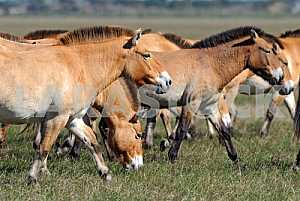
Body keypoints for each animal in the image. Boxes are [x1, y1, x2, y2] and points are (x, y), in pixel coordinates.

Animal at [0, 25, 171, 183]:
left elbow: (92, 142)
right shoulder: (56, 119)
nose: (168, 81)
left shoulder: (73, 119)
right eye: (147, 55)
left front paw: (105, 173)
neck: (78, 67)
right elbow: (43, 148)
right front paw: (33, 177)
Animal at [139, 26, 292, 166]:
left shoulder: (209, 107)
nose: (280, 76)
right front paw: (172, 157)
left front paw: (236, 160)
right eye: (267, 50)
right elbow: (182, 129)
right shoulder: (191, 103)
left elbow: (224, 131)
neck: (209, 64)